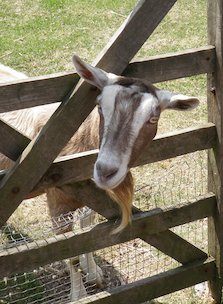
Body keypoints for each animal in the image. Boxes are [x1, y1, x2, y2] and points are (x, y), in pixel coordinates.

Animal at [0, 57, 199, 300]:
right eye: (100, 107)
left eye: (153, 118)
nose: (105, 171)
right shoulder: (57, 202)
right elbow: (71, 252)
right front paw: (79, 295)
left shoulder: (91, 196)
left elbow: (87, 229)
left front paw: (94, 273)